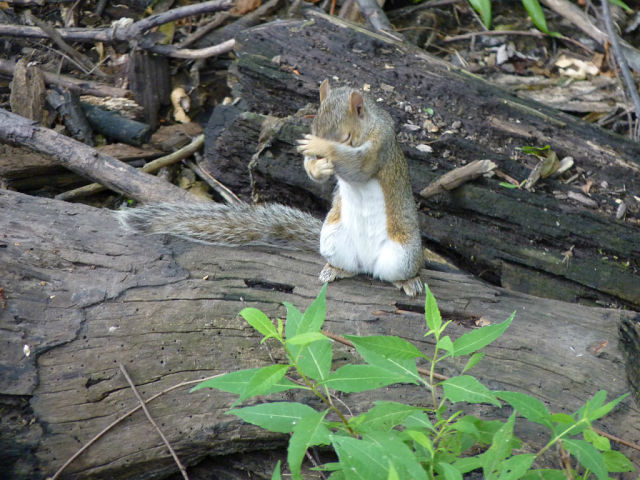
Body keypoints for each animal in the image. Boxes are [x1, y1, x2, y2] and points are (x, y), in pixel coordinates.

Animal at [117, 79, 422, 296]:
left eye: (346, 137)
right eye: (313, 123)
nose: (317, 153)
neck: (369, 124)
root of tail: (368, 262)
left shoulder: (379, 146)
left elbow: (360, 165)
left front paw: (324, 151)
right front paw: (314, 165)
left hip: (402, 256)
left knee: (399, 273)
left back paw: (409, 283)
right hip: (333, 240)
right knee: (351, 267)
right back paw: (334, 270)